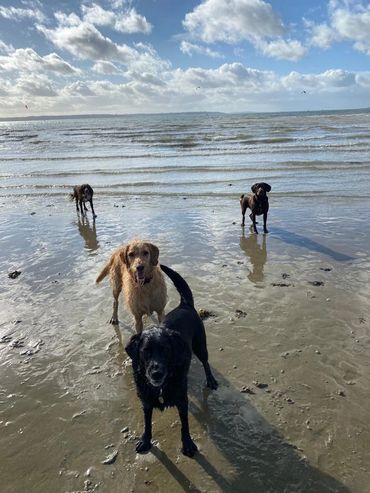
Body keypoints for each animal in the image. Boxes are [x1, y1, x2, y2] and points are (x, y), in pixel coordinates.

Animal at [125, 264, 218, 456]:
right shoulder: (146, 402)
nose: (156, 373)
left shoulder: (182, 401)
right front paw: (145, 441)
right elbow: (147, 424)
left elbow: (185, 425)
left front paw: (188, 444)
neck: (160, 387)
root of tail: (185, 305)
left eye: (166, 350)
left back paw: (211, 380)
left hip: (200, 345)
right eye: (145, 351)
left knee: (206, 362)